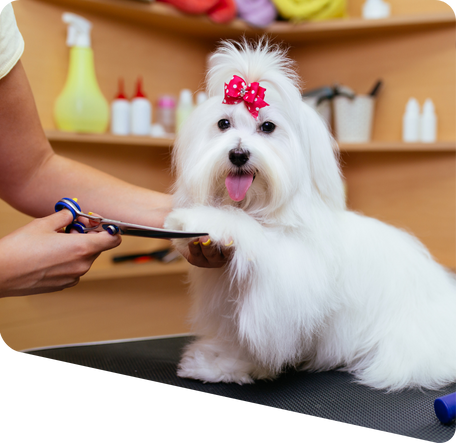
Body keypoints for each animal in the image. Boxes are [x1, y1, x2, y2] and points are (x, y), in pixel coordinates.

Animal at [164, 39, 456, 392]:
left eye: (267, 127)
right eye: (223, 124)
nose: (238, 154)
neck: (261, 208)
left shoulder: (286, 284)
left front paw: (200, 219)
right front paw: (219, 364)